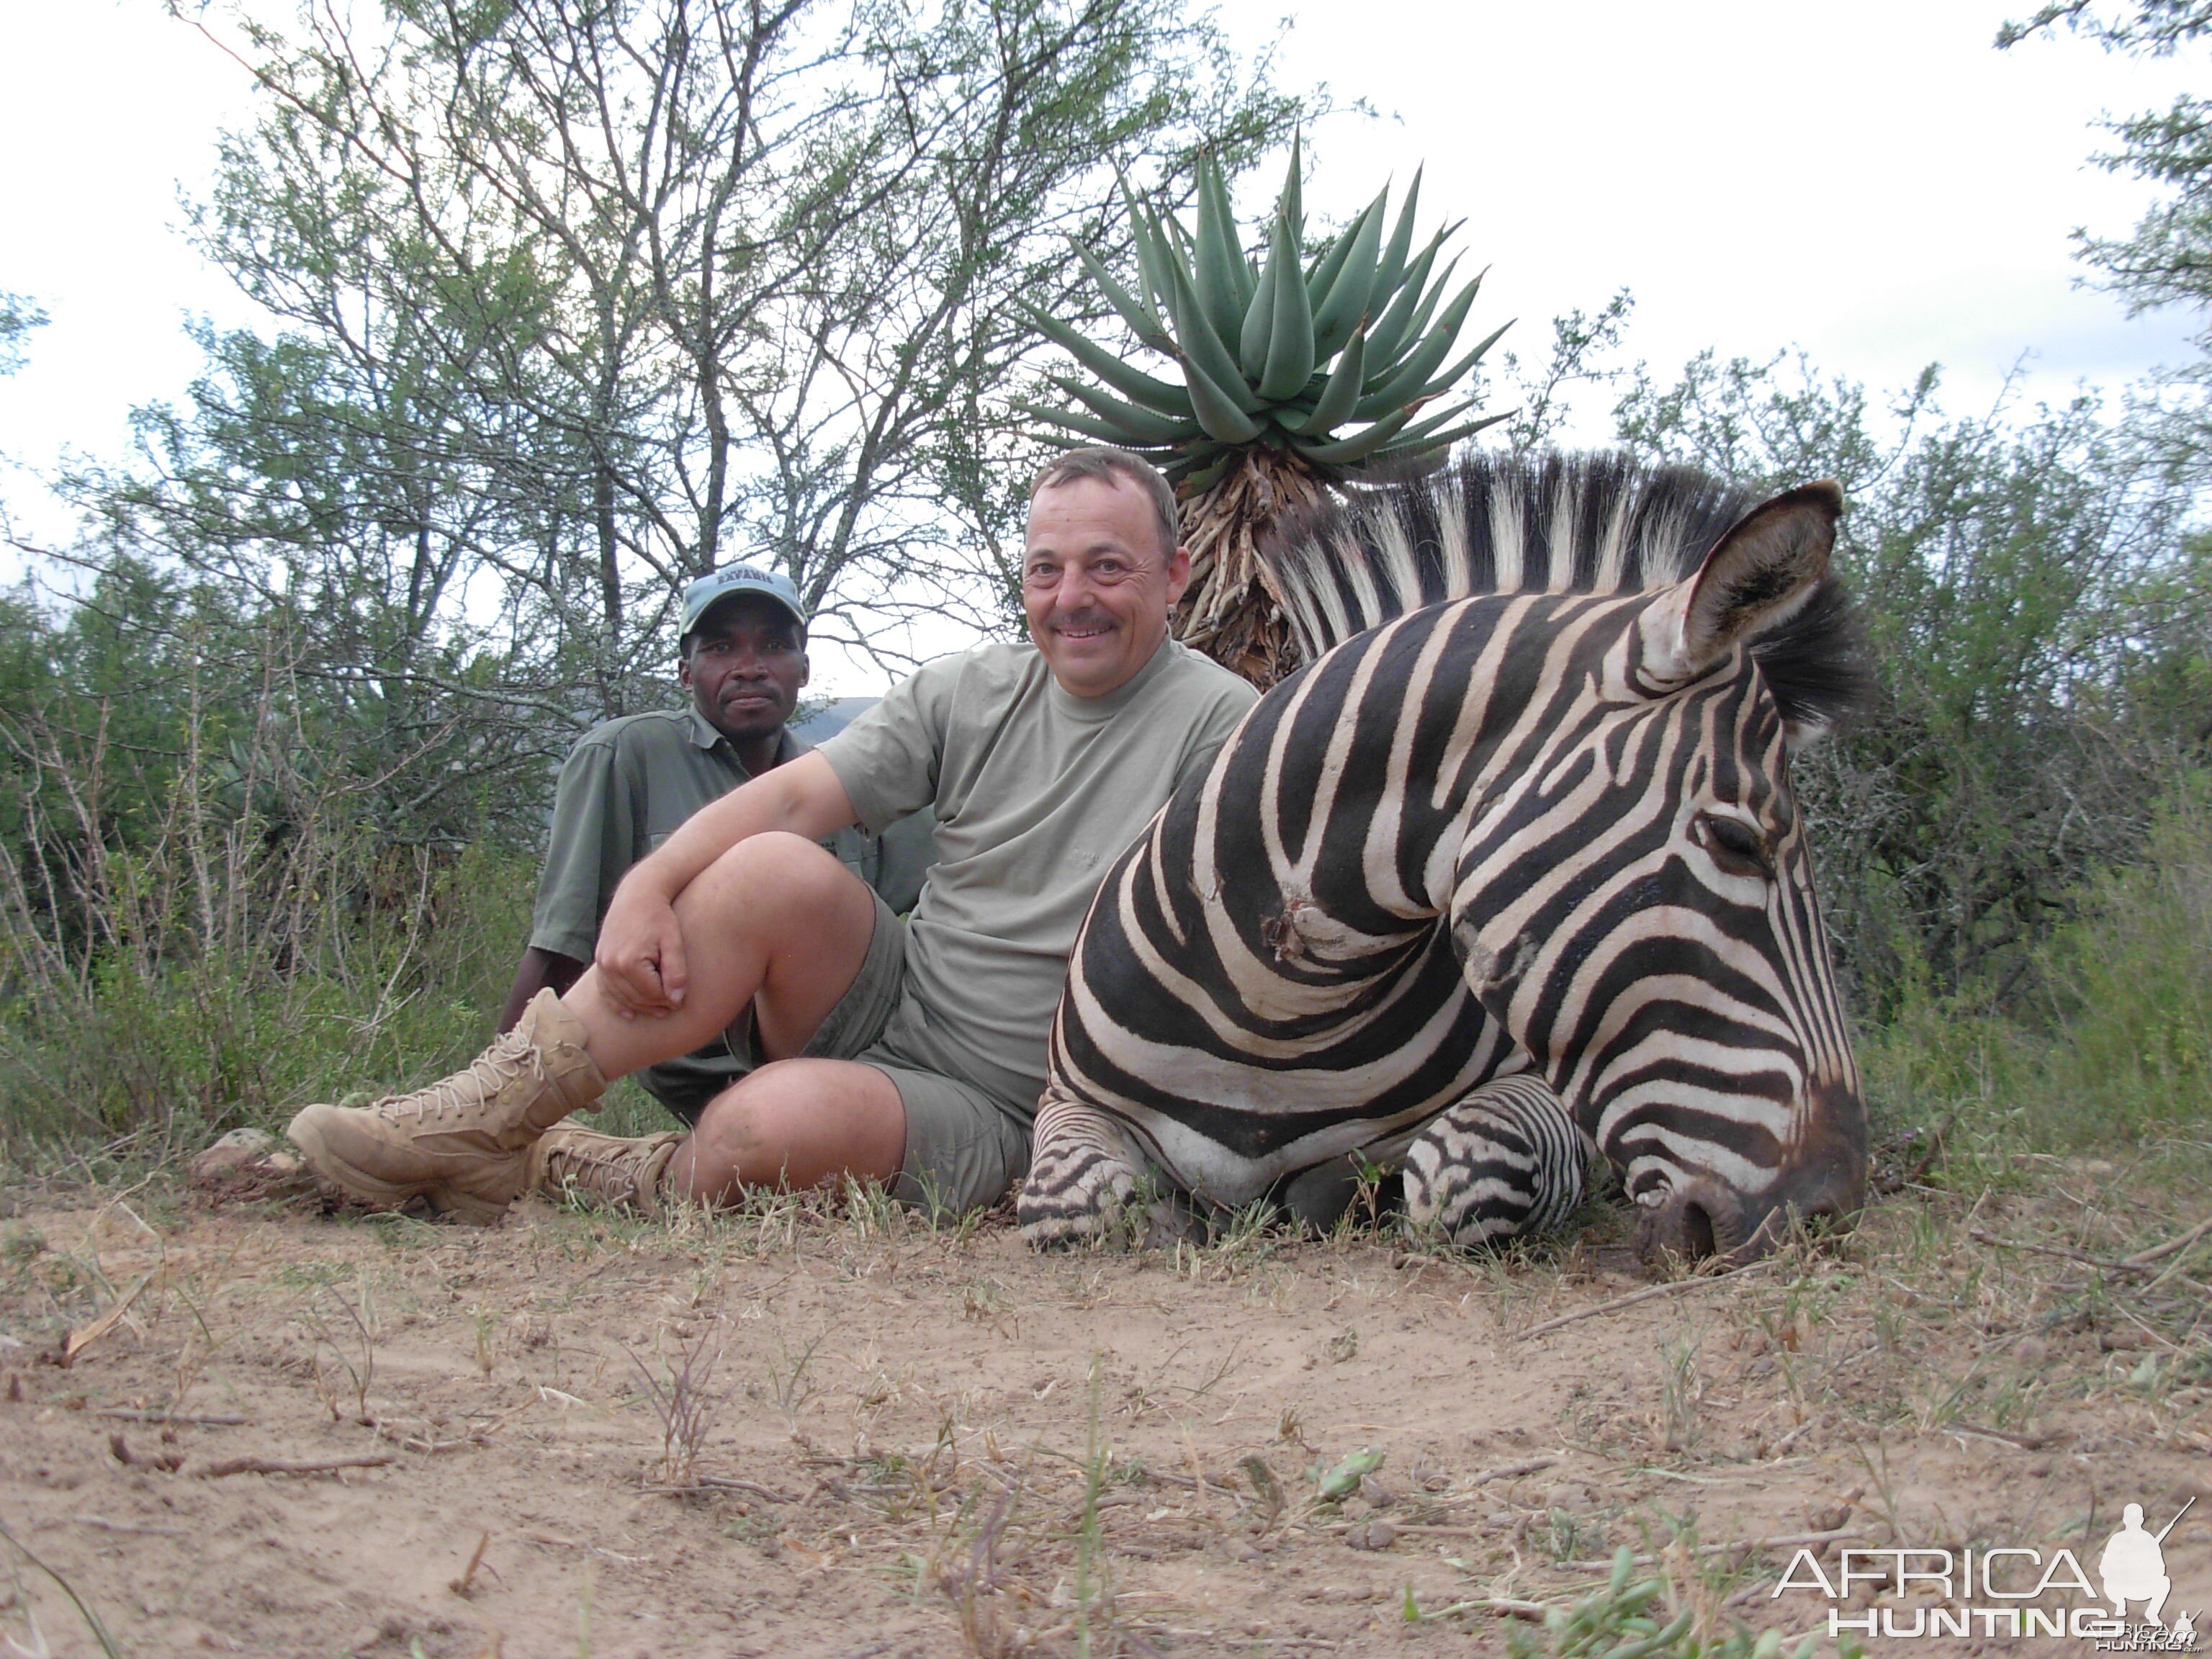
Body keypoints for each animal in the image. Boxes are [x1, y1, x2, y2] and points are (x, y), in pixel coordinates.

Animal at [1012, 449, 1866, 1265]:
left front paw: (1346, 1197)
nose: (1827, 1212)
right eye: (1737, 841)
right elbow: (1071, 1200)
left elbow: (1457, 1172)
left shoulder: (1536, 1094)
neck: (1276, 1012)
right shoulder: (1069, 1103)